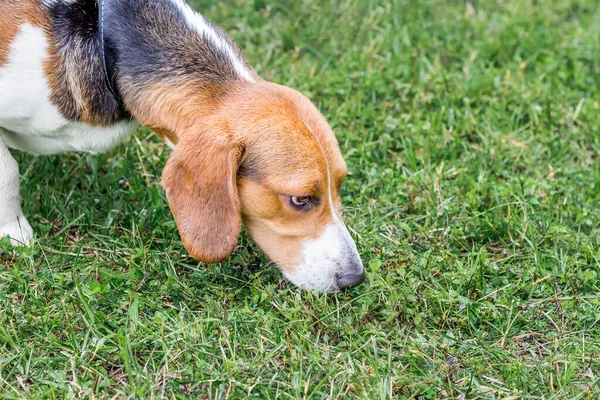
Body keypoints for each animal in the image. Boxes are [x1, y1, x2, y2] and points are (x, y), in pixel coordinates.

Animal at [0, 0, 366, 294]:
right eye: (300, 200)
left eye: (340, 184)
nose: (355, 279)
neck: (103, 34)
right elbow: (8, 172)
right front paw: (15, 233)